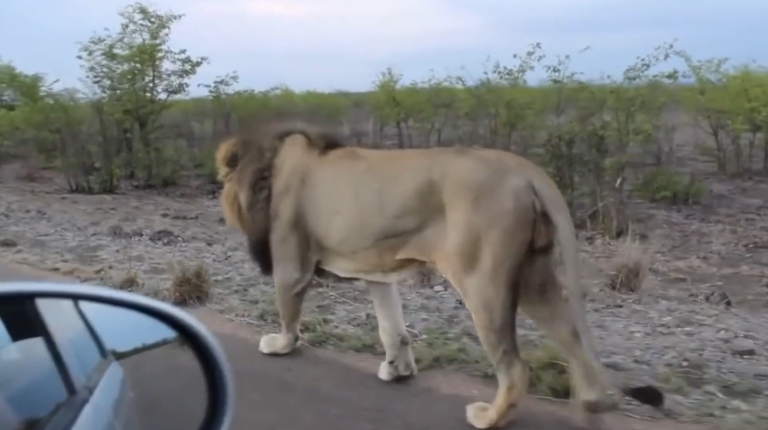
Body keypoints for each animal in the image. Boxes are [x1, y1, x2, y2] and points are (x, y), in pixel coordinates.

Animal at [215, 123, 632, 429]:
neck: (269, 167)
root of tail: (523, 169)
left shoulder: (292, 259)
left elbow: (288, 307)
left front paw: (280, 345)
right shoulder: (378, 271)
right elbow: (392, 327)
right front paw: (397, 369)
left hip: (483, 281)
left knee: (515, 368)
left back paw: (487, 417)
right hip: (536, 278)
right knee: (573, 341)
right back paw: (590, 405)